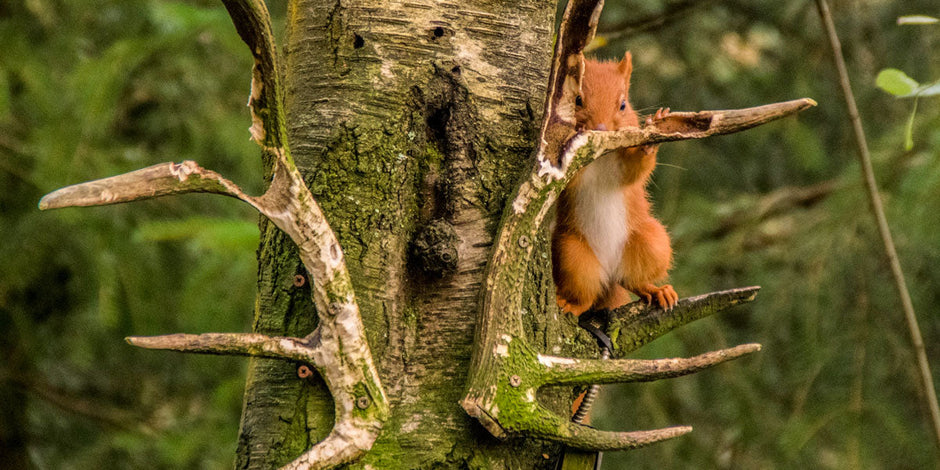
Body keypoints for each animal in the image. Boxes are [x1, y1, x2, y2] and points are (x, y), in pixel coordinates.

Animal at [552, 51, 678, 317]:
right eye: (577, 100)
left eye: (623, 105)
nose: (600, 128)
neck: (600, 156)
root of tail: (610, 270)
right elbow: (572, 178)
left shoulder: (622, 167)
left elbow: (634, 172)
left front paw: (651, 140)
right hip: (572, 255)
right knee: (587, 294)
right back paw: (571, 304)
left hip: (652, 243)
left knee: (630, 280)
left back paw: (656, 290)